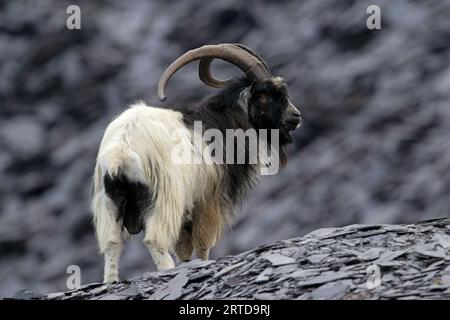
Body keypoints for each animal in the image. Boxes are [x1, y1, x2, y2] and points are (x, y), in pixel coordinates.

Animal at [90, 43, 302, 282]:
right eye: (264, 97)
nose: (296, 116)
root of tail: (121, 150)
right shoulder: (206, 199)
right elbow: (202, 244)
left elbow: (184, 248)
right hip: (163, 199)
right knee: (154, 240)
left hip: (109, 201)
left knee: (112, 244)